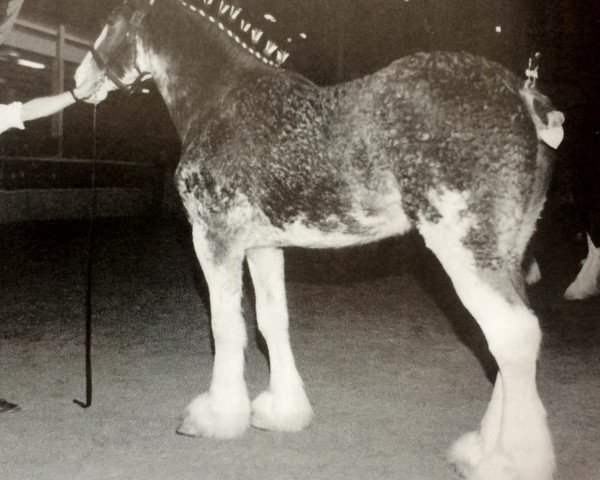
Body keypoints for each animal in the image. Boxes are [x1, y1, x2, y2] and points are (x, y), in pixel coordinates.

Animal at [72, 1, 564, 478]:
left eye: (110, 21)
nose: (79, 81)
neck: (220, 99)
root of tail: (523, 96)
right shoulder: (262, 247)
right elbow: (272, 322)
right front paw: (282, 411)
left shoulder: (214, 239)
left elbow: (226, 327)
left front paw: (215, 417)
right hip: (507, 251)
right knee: (512, 339)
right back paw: (481, 451)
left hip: (465, 247)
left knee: (512, 335)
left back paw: (509, 461)